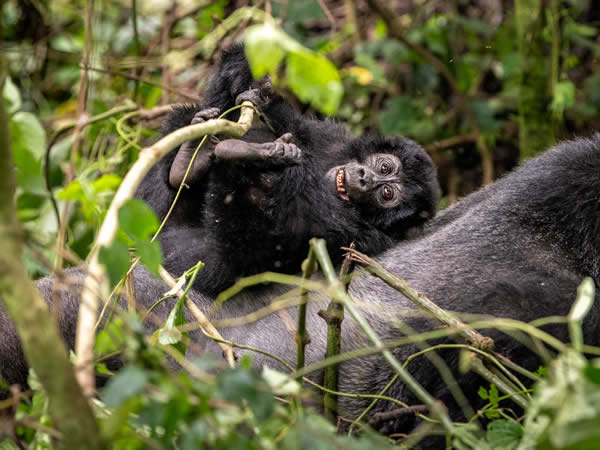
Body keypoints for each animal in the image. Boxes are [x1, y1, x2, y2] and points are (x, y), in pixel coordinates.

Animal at [137, 44, 440, 296]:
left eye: (386, 194)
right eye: (384, 167)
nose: (366, 179)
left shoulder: (366, 241)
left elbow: (283, 238)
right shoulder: (330, 137)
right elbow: (294, 126)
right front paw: (251, 81)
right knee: (184, 120)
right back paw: (190, 157)